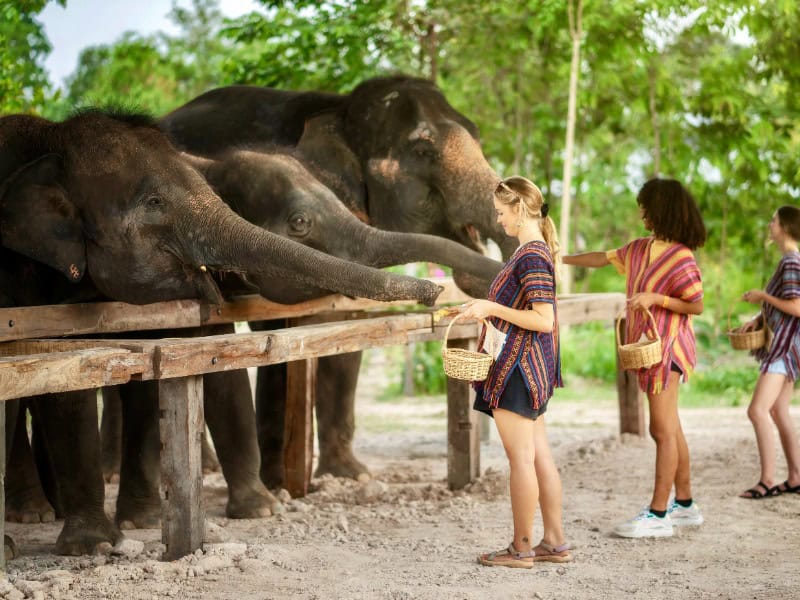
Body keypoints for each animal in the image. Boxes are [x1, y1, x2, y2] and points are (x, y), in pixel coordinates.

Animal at [0, 108, 441, 556]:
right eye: (153, 203)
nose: (436, 292)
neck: (54, 139)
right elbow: (67, 388)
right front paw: (95, 546)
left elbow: (207, 372)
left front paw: (254, 509)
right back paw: (32, 516)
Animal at [159, 75, 513, 486]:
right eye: (423, 150)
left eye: (478, 135)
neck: (342, 107)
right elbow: (276, 332)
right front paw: (278, 485)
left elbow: (344, 335)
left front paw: (352, 475)